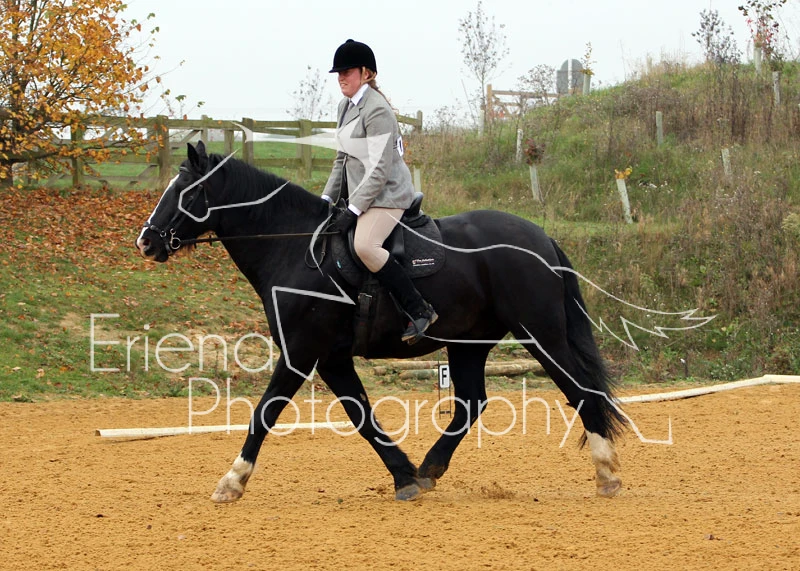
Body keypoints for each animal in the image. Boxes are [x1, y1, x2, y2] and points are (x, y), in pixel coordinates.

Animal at [135, 141, 627, 502]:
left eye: (187, 191)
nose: (146, 241)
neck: (295, 248)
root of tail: (540, 236)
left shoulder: (301, 354)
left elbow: (265, 411)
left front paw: (231, 482)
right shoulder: (332, 359)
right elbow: (361, 415)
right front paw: (405, 476)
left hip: (540, 335)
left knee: (581, 392)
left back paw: (606, 473)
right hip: (468, 343)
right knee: (471, 402)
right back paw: (430, 467)